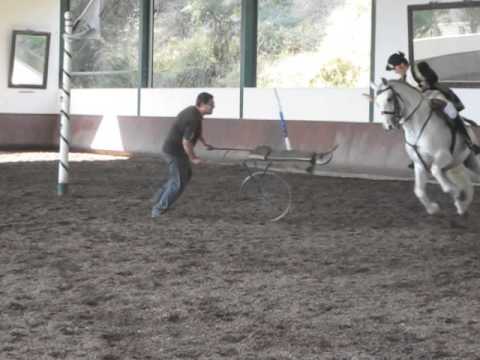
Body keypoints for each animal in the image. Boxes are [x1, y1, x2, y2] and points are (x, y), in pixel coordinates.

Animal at [372, 78, 480, 214]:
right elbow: (419, 191)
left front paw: (454, 191)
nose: (387, 126)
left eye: (389, 99)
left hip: (473, 161)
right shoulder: (419, 164)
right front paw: (433, 208)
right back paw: (461, 206)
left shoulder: (443, 156)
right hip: (455, 164)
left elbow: (435, 171)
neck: (417, 128)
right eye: (377, 102)